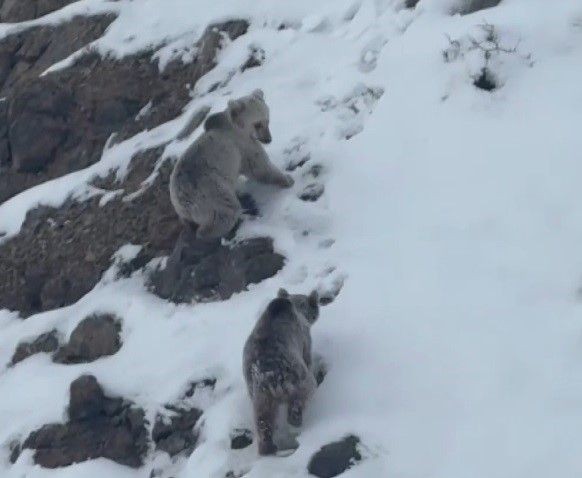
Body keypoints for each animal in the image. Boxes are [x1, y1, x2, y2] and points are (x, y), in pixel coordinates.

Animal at [244, 288, 322, 456]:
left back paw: (267, 447)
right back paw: (296, 422)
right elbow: (308, 358)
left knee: (262, 419)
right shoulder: (304, 340)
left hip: (260, 395)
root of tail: (270, 375)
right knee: (304, 393)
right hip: (296, 376)